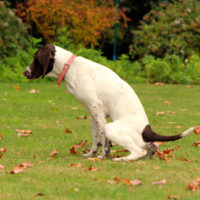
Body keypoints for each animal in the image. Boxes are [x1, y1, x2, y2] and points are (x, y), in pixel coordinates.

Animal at [23, 45, 195, 161]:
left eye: (35, 59)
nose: (25, 72)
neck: (71, 67)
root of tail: (148, 130)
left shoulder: (96, 108)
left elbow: (102, 138)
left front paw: (102, 156)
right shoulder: (92, 112)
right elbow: (95, 136)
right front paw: (91, 153)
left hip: (112, 128)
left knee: (137, 151)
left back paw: (121, 159)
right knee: (151, 147)